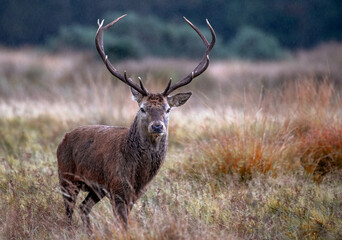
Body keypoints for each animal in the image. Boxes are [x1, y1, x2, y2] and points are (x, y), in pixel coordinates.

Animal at [57, 13, 215, 232]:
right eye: (142, 108)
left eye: (167, 109)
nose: (157, 126)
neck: (138, 174)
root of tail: (63, 138)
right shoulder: (117, 187)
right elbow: (122, 223)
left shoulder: (134, 193)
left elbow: (126, 221)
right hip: (66, 176)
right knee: (69, 211)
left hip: (95, 189)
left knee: (83, 207)